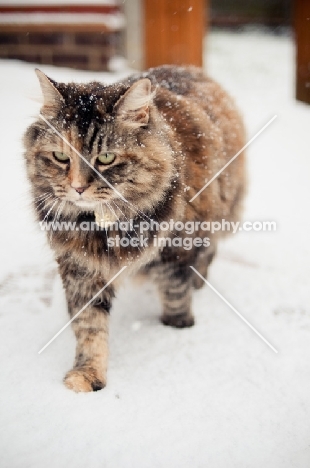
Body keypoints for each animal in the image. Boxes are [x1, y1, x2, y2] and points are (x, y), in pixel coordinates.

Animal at [23, 66, 247, 394]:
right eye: (61, 157)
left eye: (105, 158)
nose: (77, 188)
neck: (104, 226)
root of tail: (189, 69)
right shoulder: (80, 268)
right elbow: (89, 326)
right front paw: (87, 376)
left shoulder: (177, 250)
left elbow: (175, 292)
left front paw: (177, 326)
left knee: (208, 254)